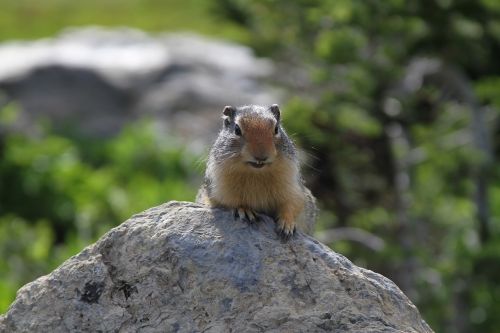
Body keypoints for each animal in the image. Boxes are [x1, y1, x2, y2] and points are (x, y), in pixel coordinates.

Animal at [195, 104, 316, 239]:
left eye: (276, 129)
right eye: (237, 129)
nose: (261, 156)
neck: (256, 173)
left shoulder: (293, 185)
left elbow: (293, 203)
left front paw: (287, 225)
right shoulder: (219, 187)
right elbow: (230, 201)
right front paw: (245, 210)